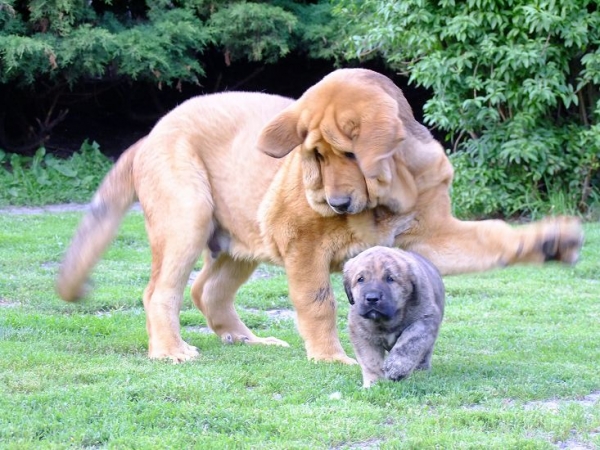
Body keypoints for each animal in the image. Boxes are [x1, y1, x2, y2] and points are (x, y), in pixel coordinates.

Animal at [55, 69, 580, 366]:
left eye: (349, 153)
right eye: (315, 156)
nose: (336, 203)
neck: (391, 194)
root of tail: (150, 135)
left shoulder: (435, 235)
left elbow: (493, 237)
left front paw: (550, 241)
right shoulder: (302, 244)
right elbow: (318, 304)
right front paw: (330, 358)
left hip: (239, 241)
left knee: (208, 290)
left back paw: (249, 341)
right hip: (188, 218)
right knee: (160, 292)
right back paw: (171, 352)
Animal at [342, 246, 446, 386]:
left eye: (390, 279)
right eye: (361, 279)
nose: (372, 298)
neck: (384, 322)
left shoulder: (426, 319)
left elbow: (409, 341)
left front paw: (397, 367)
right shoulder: (360, 331)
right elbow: (370, 359)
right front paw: (374, 382)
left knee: (425, 352)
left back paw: (421, 369)